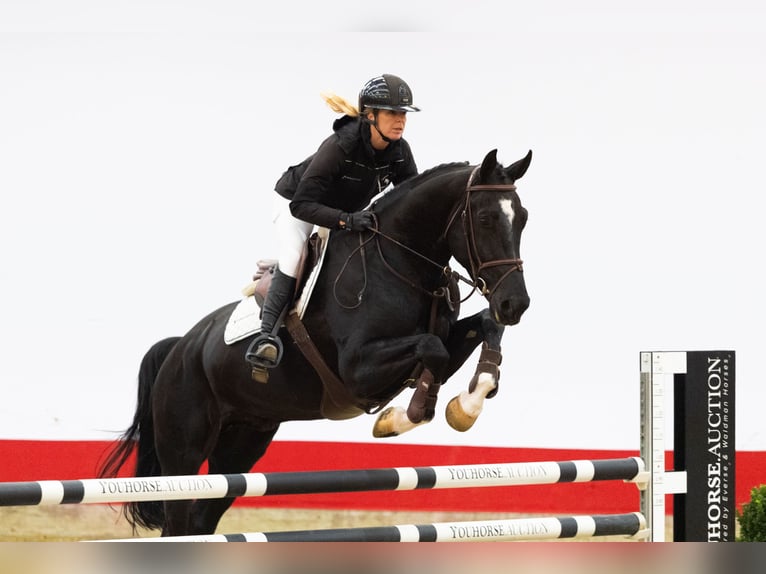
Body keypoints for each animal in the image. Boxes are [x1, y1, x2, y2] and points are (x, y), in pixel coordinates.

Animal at [99, 148, 532, 537]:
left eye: (523, 218)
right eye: (486, 218)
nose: (516, 304)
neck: (400, 262)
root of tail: (180, 347)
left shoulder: (442, 336)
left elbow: (479, 331)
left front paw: (466, 406)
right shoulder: (358, 369)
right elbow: (432, 350)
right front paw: (400, 418)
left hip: (243, 443)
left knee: (202, 520)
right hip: (184, 449)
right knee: (177, 520)